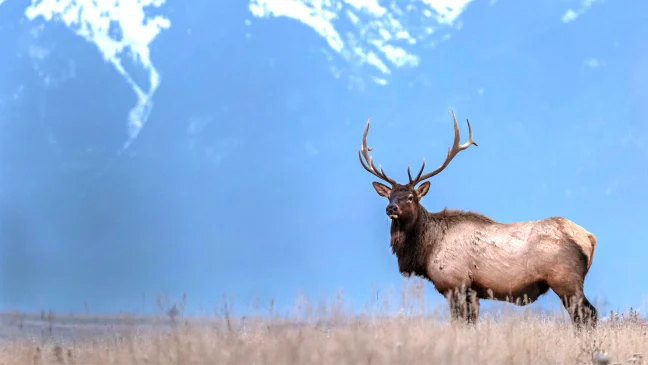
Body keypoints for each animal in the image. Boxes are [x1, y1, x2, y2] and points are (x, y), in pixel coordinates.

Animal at [360, 111, 596, 328]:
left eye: (411, 197)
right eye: (390, 196)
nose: (391, 208)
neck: (426, 250)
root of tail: (589, 238)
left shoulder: (455, 284)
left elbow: (459, 324)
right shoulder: (472, 291)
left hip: (565, 280)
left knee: (587, 315)